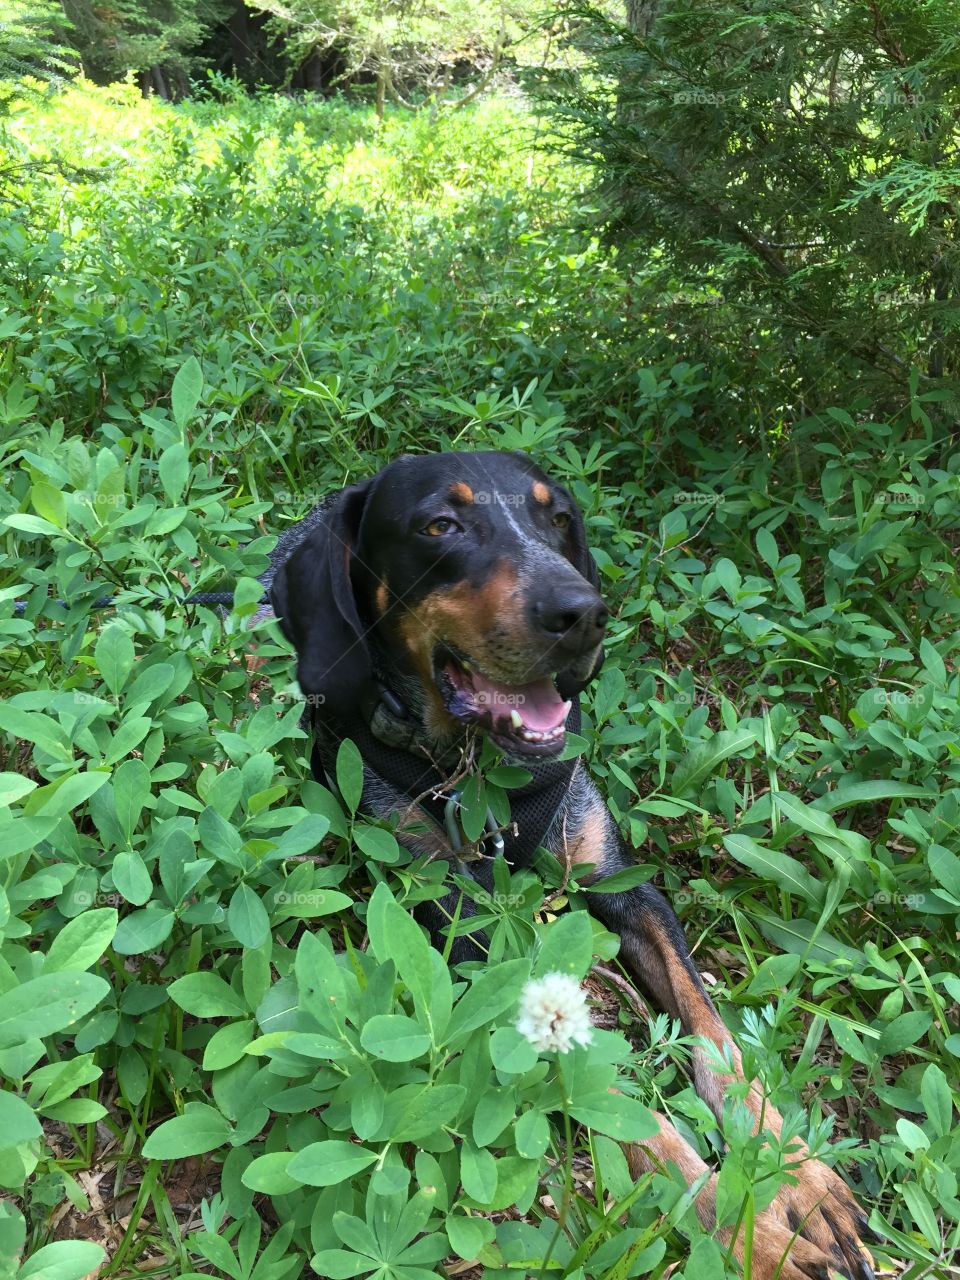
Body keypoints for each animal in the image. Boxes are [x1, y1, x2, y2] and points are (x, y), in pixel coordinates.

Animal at [264, 450, 880, 1280]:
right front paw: (746, 1234)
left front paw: (791, 1170)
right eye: (439, 525)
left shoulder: (630, 892)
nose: (583, 612)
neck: (486, 774)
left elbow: (714, 1033)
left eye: (558, 518)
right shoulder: (467, 935)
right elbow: (612, 1092)